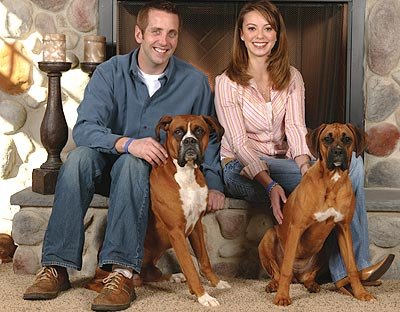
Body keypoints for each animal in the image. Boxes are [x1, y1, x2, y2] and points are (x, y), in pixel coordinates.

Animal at [139, 115, 230, 308]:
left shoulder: (196, 226)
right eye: (178, 132)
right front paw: (203, 296)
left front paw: (216, 282)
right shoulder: (177, 232)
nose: (189, 141)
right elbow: (190, 266)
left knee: (148, 273)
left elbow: (204, 260)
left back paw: (174, 277)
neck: (186, 174)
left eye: (199, 131)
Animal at [258, 123, 374, 306]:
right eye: (327, 139)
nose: (338, 151)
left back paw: (312, 284)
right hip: (269, 236)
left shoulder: (343, 228)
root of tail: (298, 276)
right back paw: (274, 285)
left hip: (325, 245)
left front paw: (361, 293)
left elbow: (352, 267)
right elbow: (285, 269)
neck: (332, 182)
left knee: (308, 276)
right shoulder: (296, 228)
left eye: (347, 139)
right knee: (277, 272)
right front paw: (282, 296)